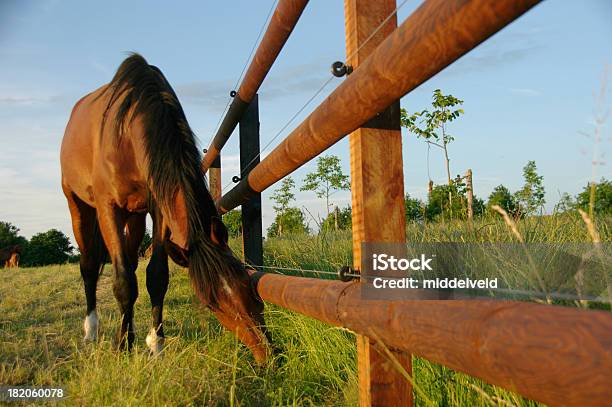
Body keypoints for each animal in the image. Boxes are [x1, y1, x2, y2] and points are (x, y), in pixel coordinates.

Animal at [60, 54, 270, 364]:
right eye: (212, 304)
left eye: (247, 287)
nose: (269, 354)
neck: (127, 133)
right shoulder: (108, 208)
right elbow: (123, 281)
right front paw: (121, 346)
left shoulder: (157, 208)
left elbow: (155, 276)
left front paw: (154, 344)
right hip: (78, 205)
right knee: (88, 265)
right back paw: (92, 331)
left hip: (134, 216)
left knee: (130, 263)